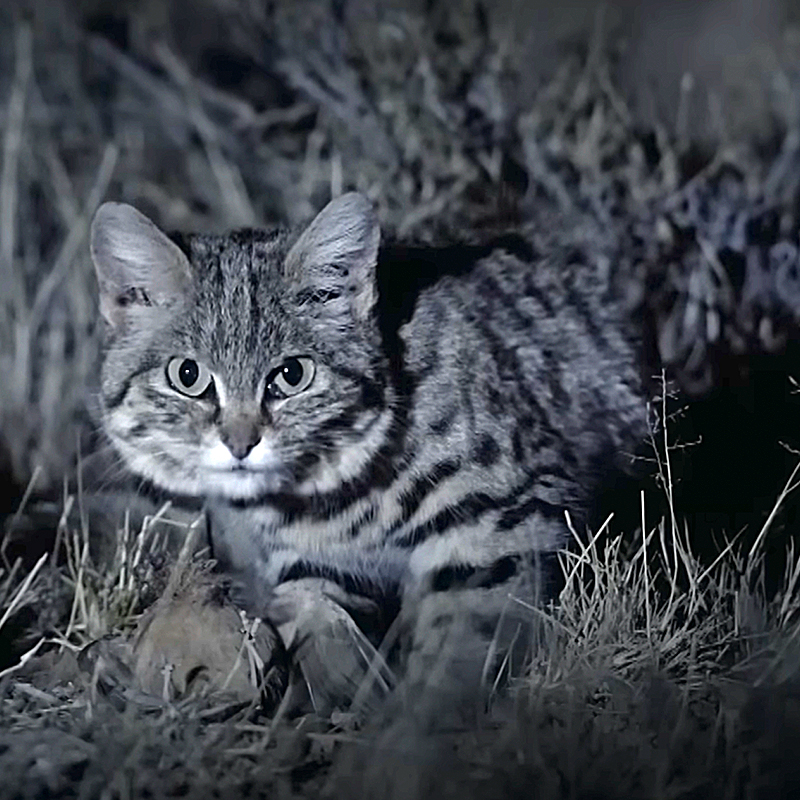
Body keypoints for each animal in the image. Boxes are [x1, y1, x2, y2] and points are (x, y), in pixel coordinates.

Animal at [89, 192, 648, 712]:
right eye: (187, 376)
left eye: (292, 375)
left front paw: (419, 725)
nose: (240, 444)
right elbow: (313, 609)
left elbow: (464, 641)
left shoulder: (505, 523)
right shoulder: (303, 563)